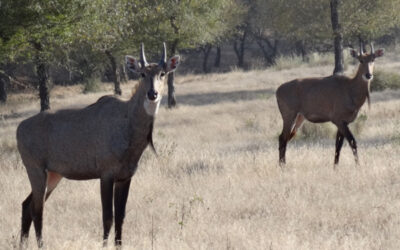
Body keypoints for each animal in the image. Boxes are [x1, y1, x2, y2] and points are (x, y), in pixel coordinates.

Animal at [18, 43, 180, 248]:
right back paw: (41, 245)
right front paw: (104, 245)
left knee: (27, 205)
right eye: (142, 73)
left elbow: (120, 217)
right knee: (37, 209)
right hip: (36, 170)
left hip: (54, 175)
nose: (153, 94)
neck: (127, 123)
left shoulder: (125, 178)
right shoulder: (106, 175)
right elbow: (107, 217)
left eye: (162, 73)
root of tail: (19, 128)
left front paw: (119, 245)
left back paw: (22, 244)